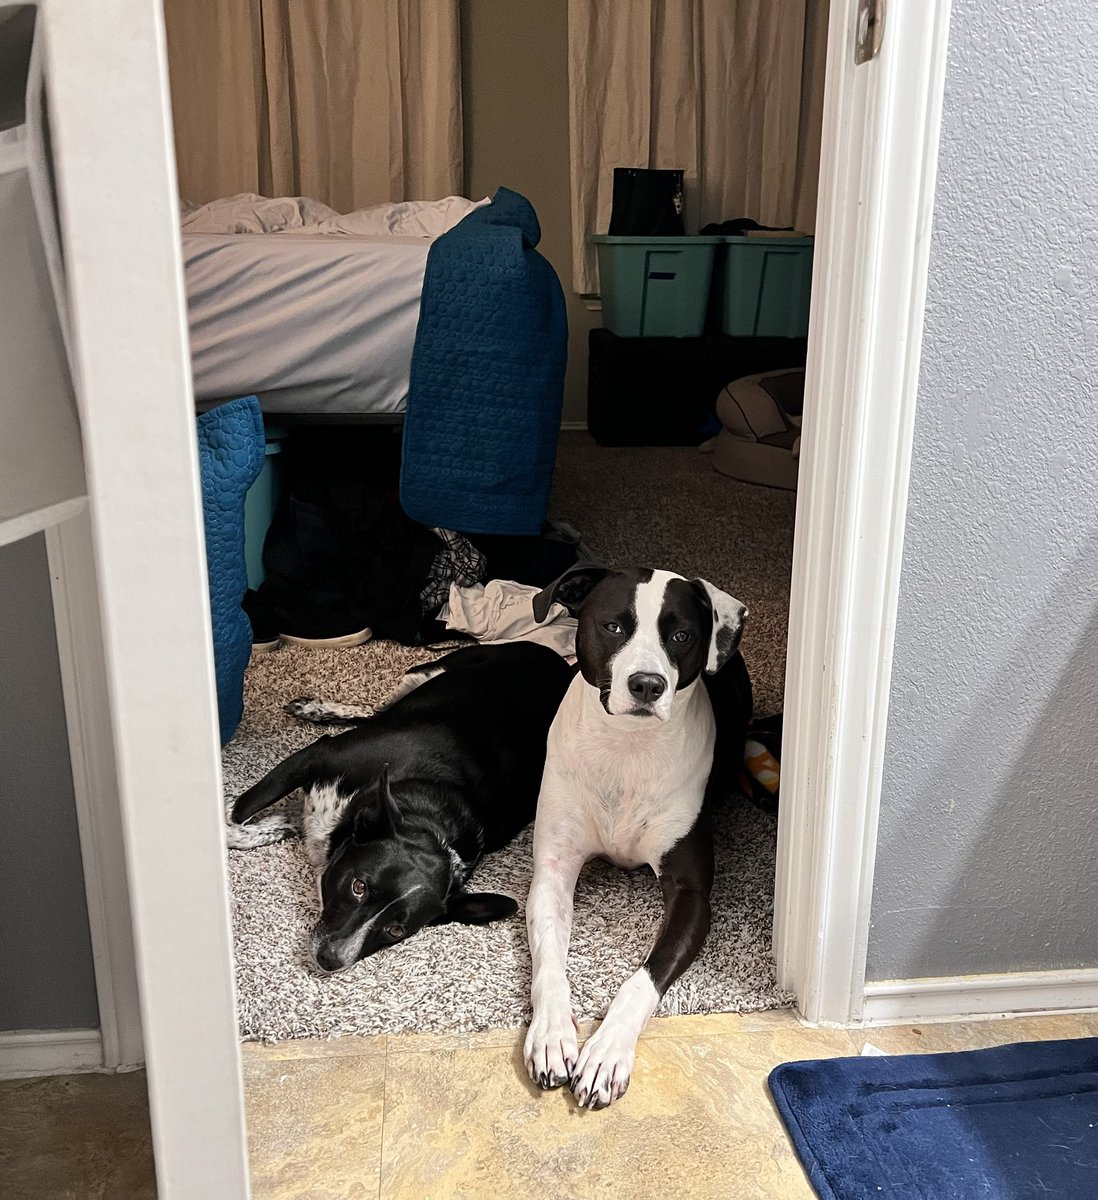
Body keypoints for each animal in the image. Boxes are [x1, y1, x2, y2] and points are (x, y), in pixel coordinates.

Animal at [232, 643, 576, 969]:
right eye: (358, 887)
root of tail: (561, 664)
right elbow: (242, 808)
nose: (330, 960)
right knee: (376, 709)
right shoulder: (316, 755)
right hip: (423, 673)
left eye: (395, 931)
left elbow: (277, 822)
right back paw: (317, 708)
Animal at [520, 566, 748, 1108]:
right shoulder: (553, 872)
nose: (647, 684)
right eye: (613, 626)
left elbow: (645, 977)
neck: (628, 748)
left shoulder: (691, 894)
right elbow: (549, 962)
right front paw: (551, 1033)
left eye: (681, 636)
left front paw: (605, 1053)